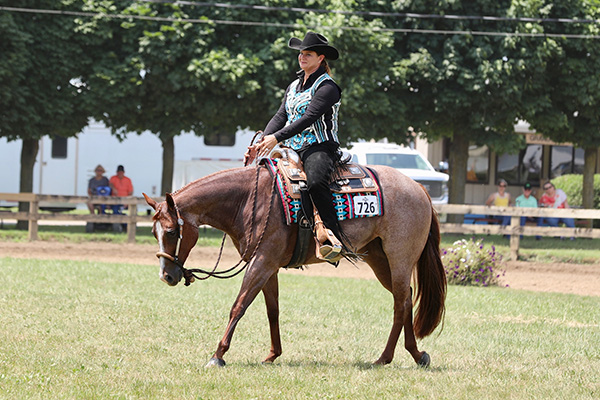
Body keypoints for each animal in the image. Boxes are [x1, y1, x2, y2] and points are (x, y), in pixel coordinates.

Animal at [144, 162, 446, 368]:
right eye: (155, 233)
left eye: (171, 231)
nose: (166, 276)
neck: (248, 200)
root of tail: (419, 188)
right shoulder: (268, 266)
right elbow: (272, 310)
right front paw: (272, 354)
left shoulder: (262, 262)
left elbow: (239, 306)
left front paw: (218, 355)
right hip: (380, 260)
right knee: (405, 297)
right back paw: (416, 354)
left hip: (400, 258)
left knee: (400, 303)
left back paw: (385, 357)